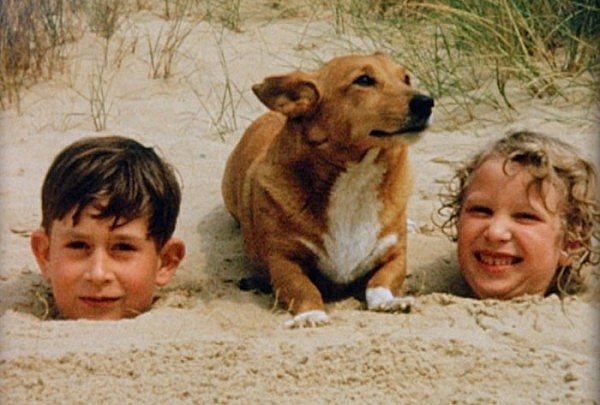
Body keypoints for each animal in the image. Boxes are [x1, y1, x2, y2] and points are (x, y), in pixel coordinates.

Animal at [223, 52, 434, 326]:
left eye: (406, 78)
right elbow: (303, 287)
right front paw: (311, 314)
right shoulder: (282, 260)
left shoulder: (395, 255)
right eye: (364, 80)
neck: (356, 177)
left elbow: (381, 281)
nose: (427, 102)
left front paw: (389, 302)